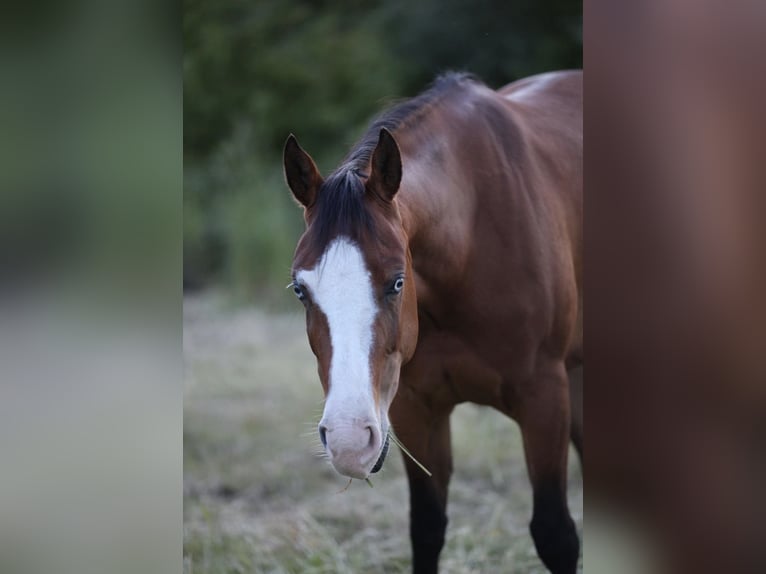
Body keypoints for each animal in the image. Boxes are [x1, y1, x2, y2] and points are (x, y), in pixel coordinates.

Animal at [284, 70, 582, 574]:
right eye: (301, 290)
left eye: (397, 282)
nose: (348, 441)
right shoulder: (414, 408)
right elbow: (426, 528)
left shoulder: (545, 397)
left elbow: (555, 534)